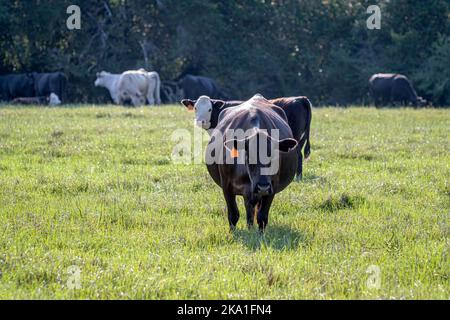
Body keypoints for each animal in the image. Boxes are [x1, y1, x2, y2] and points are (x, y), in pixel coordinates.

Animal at [181, 95, 312, 180]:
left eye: (209, 109)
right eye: (196, 108)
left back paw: (297, 177)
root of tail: (301, 98)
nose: (200, 121)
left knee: (298, 155)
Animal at [207, 94, 298, 231]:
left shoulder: (272, 186)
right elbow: (233, 214)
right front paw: (232, 232)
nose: (262, 186)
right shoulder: (226, 186)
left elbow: (262, 216)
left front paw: (261, 234)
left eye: (273, 156)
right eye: (250, 156)